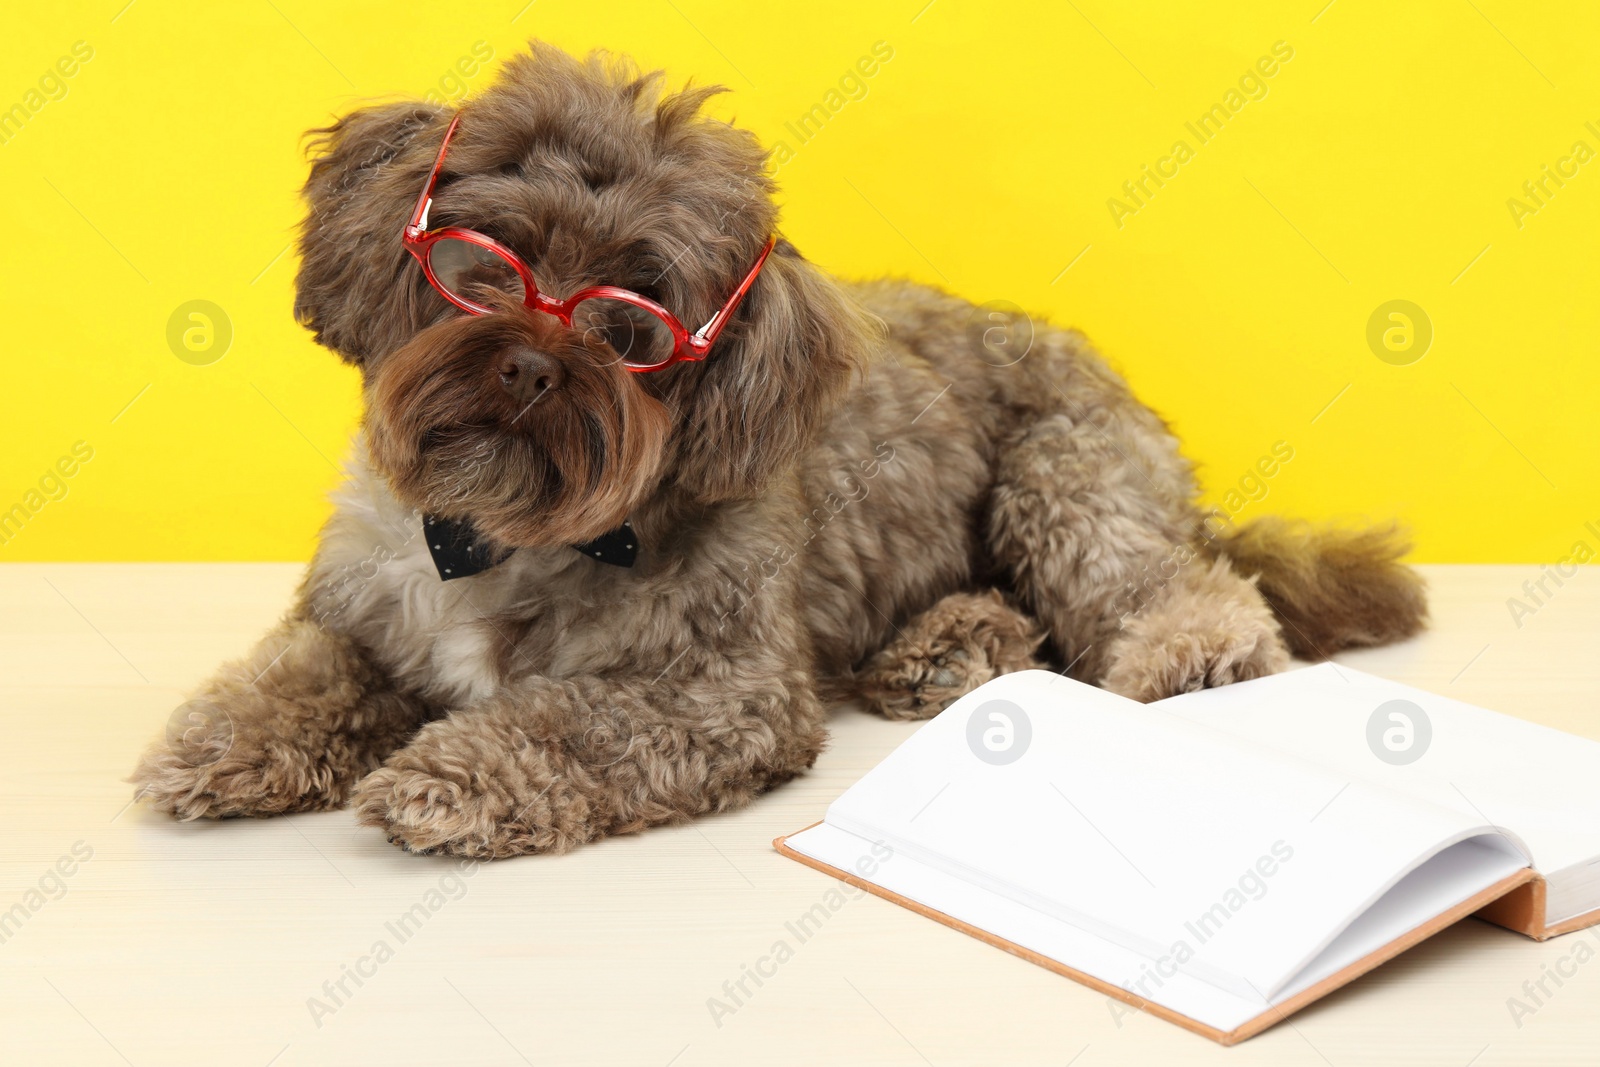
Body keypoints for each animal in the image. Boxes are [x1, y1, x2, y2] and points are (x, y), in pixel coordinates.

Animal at [128, 43, 1427, 857]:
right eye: (489, 259)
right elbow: (304, 672)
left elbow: (565, 721)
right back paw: (947, 647)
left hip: (1064, 473)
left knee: (1161, 585)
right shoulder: (356, 606)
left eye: (637, 322)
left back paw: (1177, 649)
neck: (507, 534)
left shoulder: (722, 692)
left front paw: (447, 776)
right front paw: (224, 736)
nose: (535, 363)